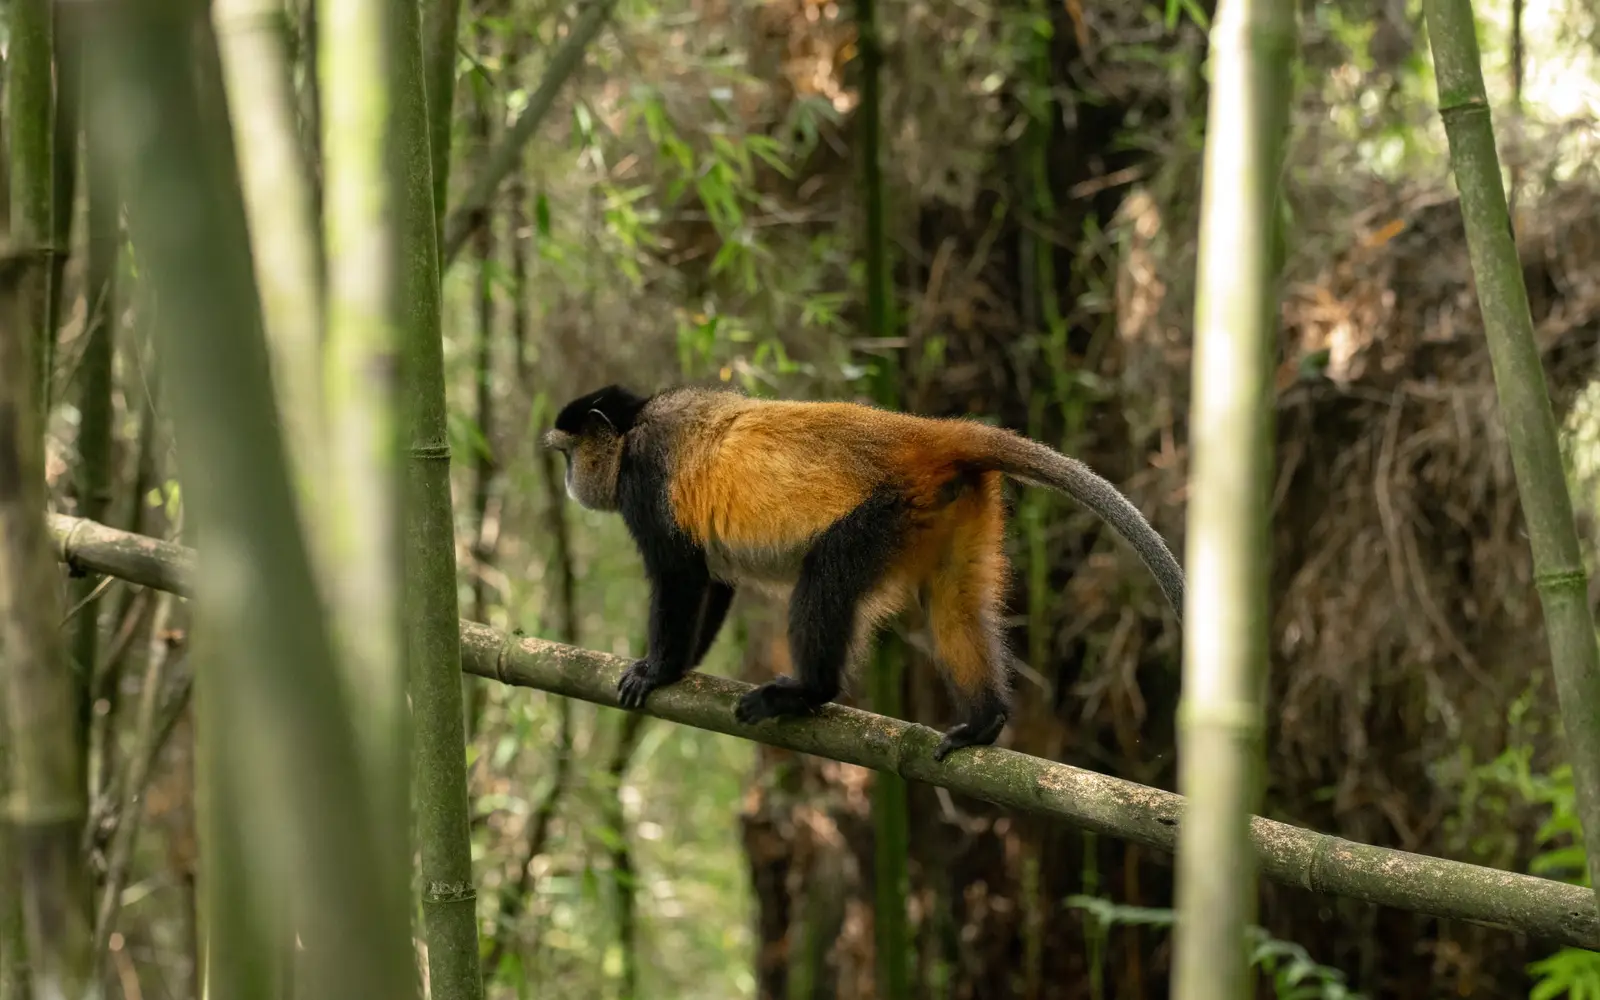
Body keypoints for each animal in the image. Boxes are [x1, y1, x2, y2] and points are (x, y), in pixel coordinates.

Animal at [543, 383, 1184, 762]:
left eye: (568, 453)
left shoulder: (645, 479)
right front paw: (679, 670)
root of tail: (922, 434)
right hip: (952, 509)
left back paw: (807, 692)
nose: (568, 479)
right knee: (953, 603)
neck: (635, 426)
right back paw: (984, 722)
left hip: (884, 513)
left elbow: (681, 575)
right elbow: (713, 578)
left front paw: (658, 670)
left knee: (825, 577)